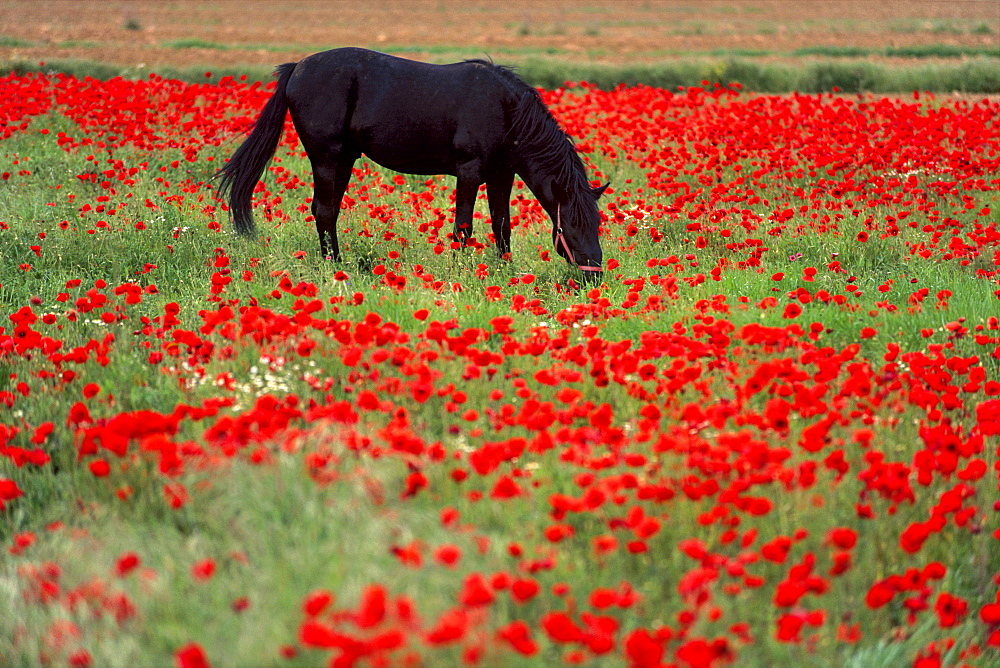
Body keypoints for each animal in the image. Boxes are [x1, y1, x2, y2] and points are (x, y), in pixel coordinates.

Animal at [216, 47, 604, 272]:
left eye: (597, 224)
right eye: (572, 224)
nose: (594, 276)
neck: (505, 109)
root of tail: (297, 67)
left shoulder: (501, 174)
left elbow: (501, 225)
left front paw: (504, 271)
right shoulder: (469, 171)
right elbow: (464, 227)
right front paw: (461, 273)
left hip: (344, 159)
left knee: (327, 210)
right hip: (326, 157)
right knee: (324, 210)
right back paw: (335, 268)